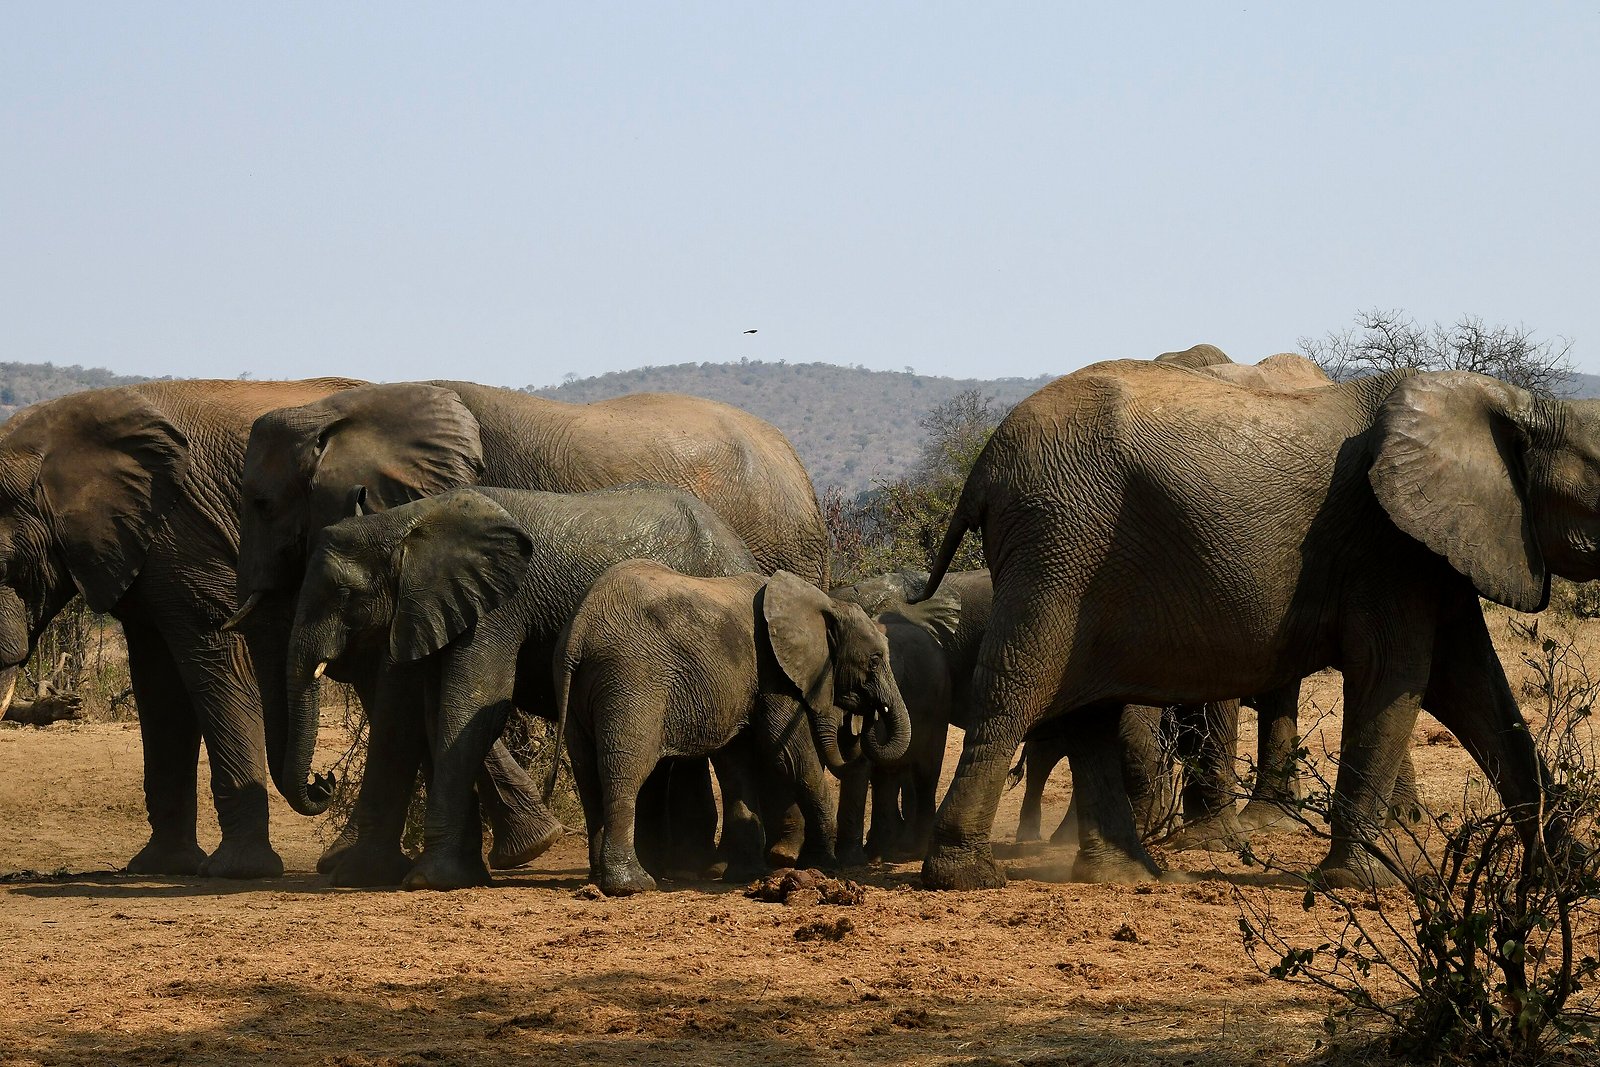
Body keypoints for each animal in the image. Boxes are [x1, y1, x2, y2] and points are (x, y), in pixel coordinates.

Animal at [0, 378, 360, 877]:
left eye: (3, 569)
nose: (326, 781)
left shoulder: (184, 533)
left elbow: (219, 660)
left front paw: (239, 871)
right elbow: (160, 686)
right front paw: (162, 867)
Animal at [280, 483, 763, 890]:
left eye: (344, 593)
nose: (323, 782)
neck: (410, 521)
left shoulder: (498, 606)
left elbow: (474, 705)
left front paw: (431, 880)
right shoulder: (429, 607)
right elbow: (415, 714)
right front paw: (390, 875)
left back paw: (696, 871)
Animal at [548, 561, 914, 896]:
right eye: (875, 659)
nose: (866, 718)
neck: (822, 601)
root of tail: (579, 629)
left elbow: (735, 763)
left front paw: (746, 874)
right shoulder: (772, 672)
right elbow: (789, 756)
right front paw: (823, 865)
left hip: (580, 689)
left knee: (588, 776)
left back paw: (600, 880)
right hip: (630, 681)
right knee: (626, 771)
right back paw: (631, 885)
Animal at [916, 358, 1593, 889]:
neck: (1510, 402)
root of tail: (984, 463)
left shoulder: (1438, 551)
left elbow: (1473, 686)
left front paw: (1569, 873)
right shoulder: (1385, 548)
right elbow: (1396, 675)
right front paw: (1364, 884)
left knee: (1088, 712)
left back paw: (1129, 875)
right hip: (1057, 543)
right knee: (1018, 687)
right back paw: (965, 874)